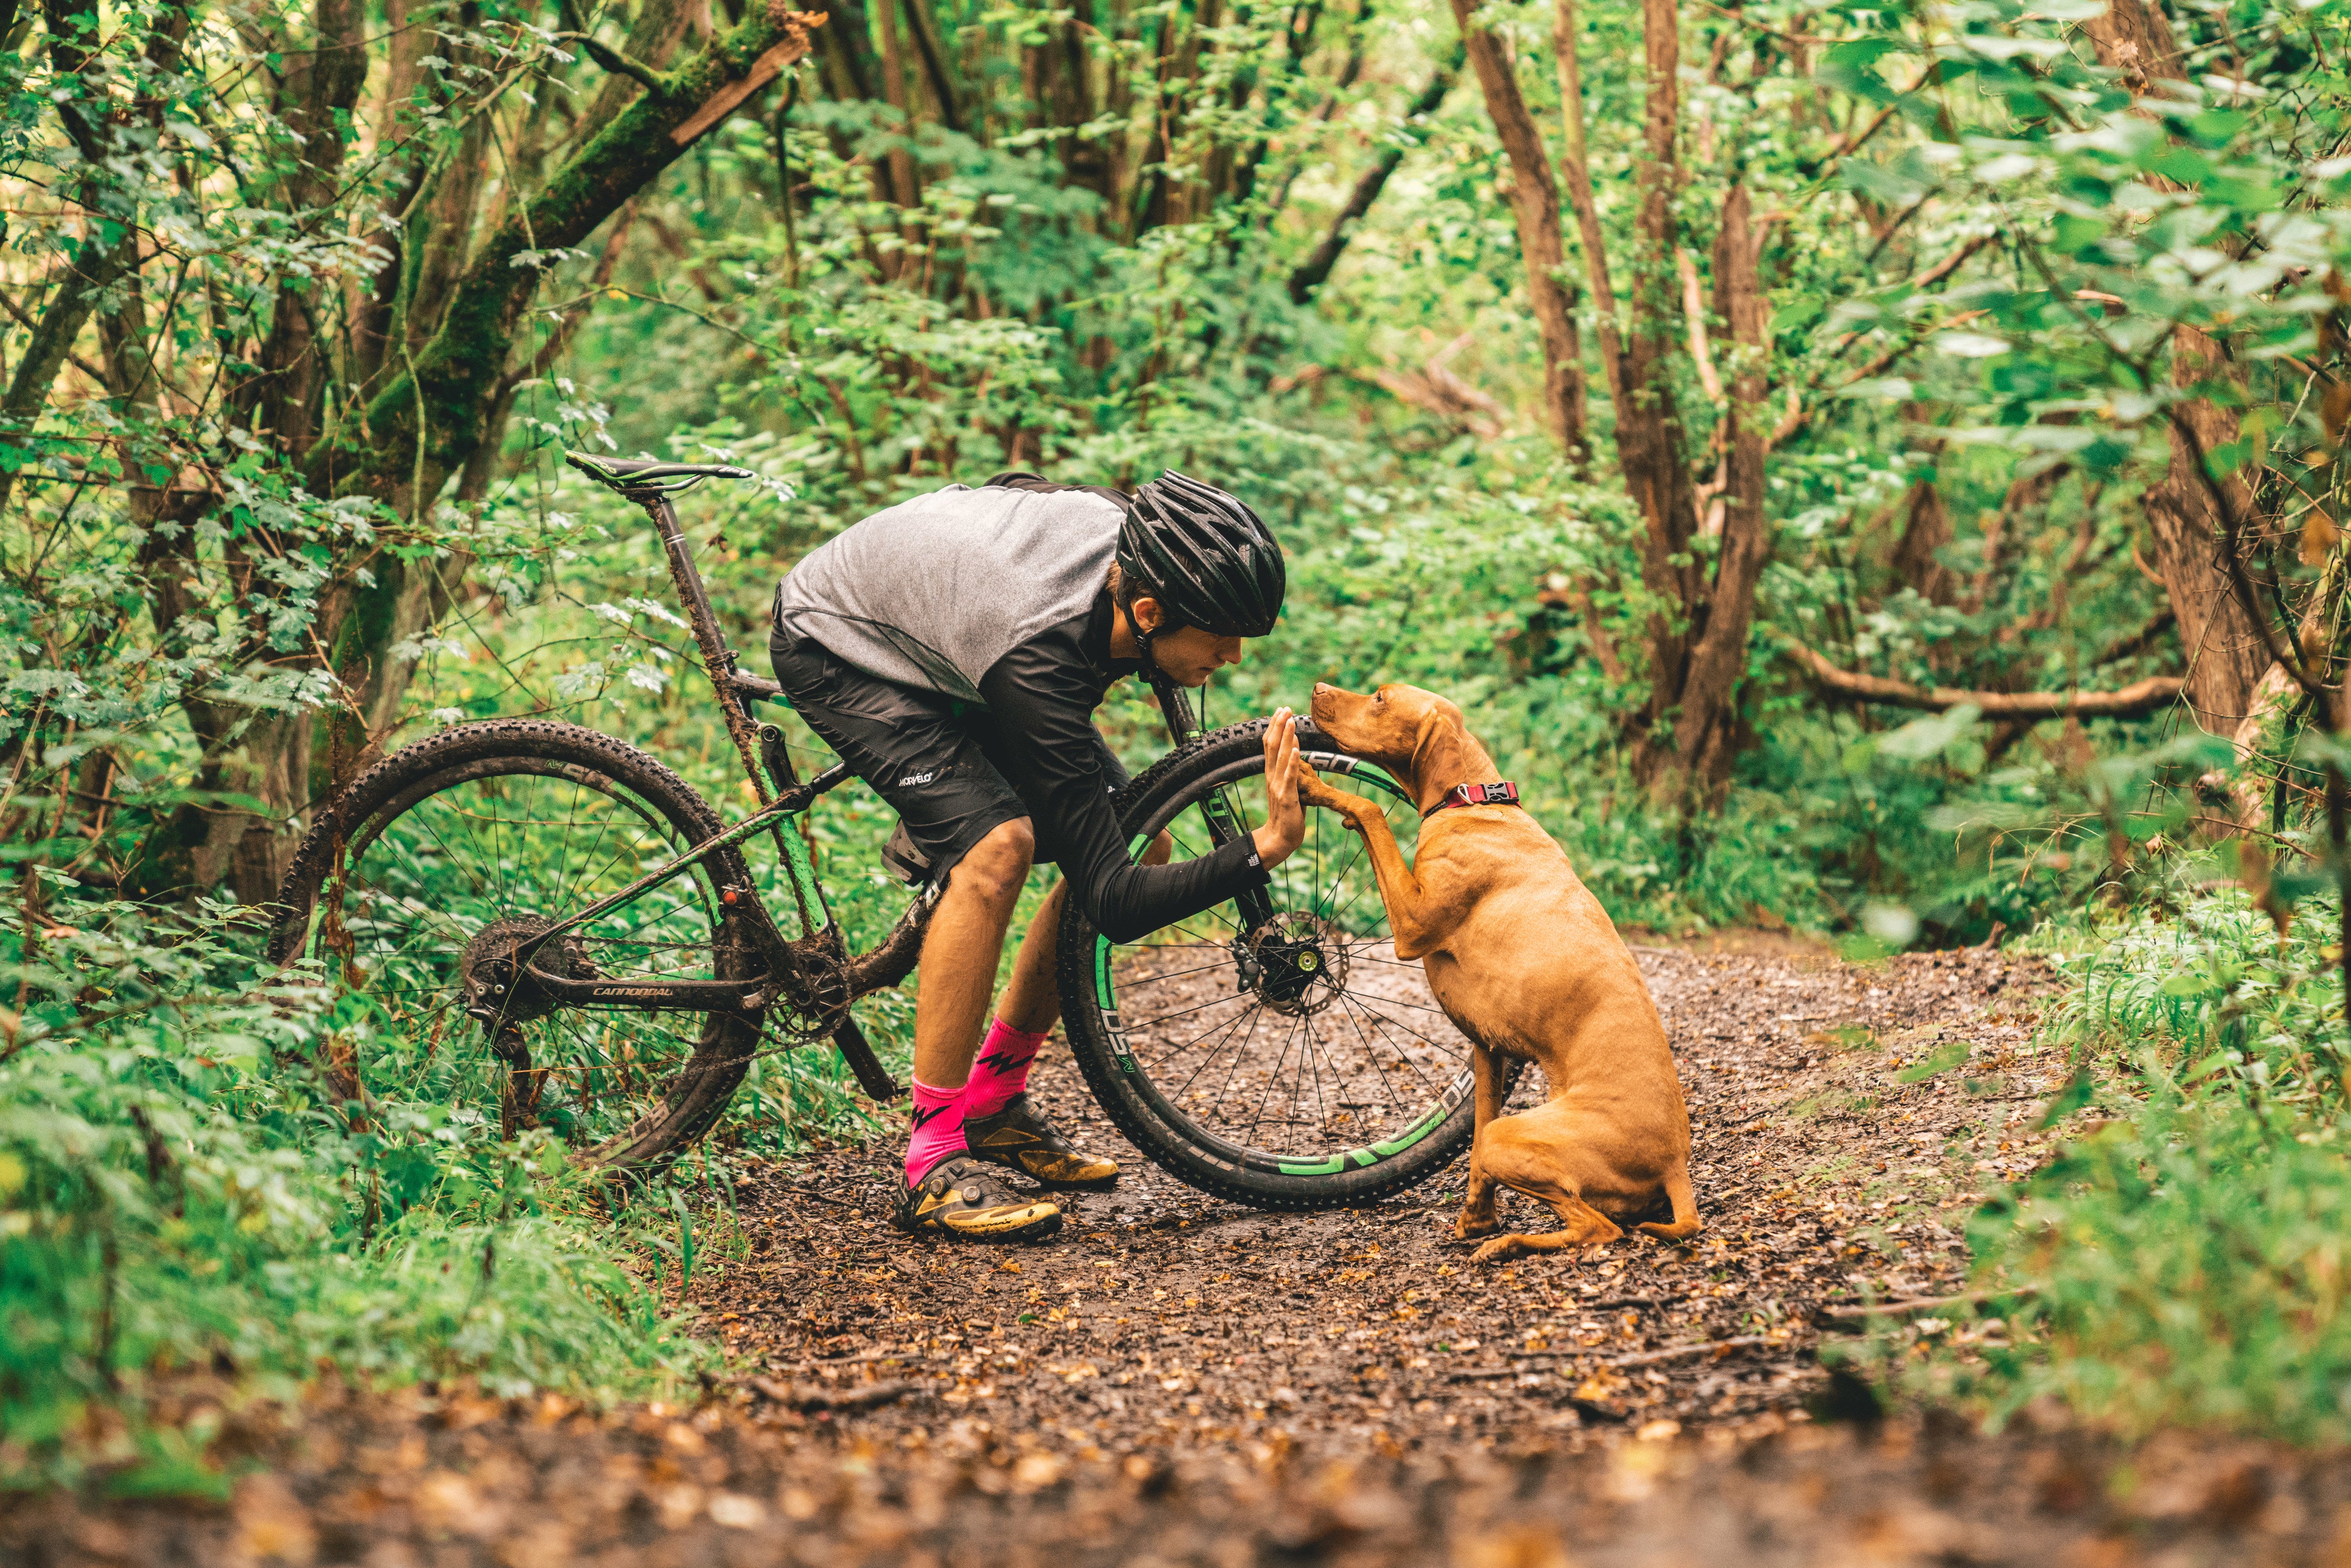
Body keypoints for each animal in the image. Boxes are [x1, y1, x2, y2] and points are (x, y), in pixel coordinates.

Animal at [1297, 681, 1702, 1260]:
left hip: (1518, 1138)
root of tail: (1675, 1163)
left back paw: (1508, 1244)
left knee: (1599, 1230)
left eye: (1379, 697)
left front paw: (1312, 782)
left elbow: (1372, 808)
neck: (1473, 802)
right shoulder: (1488, 1052)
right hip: (1511, 1137)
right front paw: (1476, 1216)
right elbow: (1473, 1150)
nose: (1318, 688)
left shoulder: (1411, 923)